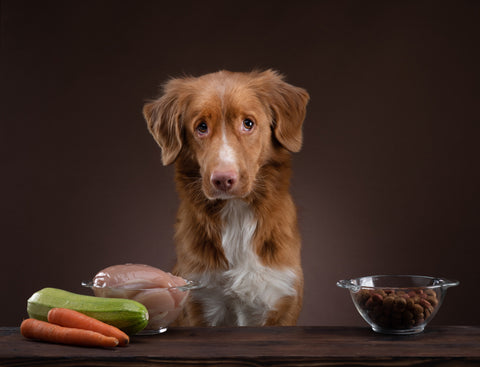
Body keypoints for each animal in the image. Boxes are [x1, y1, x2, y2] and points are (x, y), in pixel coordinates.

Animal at [143, 70, 308, 326]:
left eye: (248, 123)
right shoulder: (199, 301)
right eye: (201, 127)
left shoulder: (282, 300)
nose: (223, 180)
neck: (236, 214)